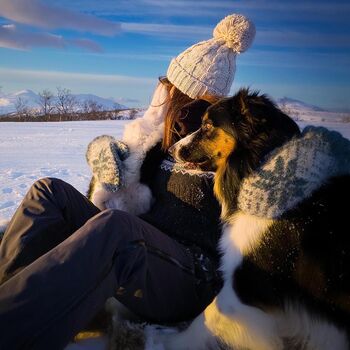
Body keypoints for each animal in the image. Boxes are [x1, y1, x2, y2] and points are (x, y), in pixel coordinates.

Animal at [160, 89, 350, 350]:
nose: (171, 150)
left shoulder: (245, 283)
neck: (261, 167)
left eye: (207, 125)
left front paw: (171, 341)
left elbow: (208, 316)